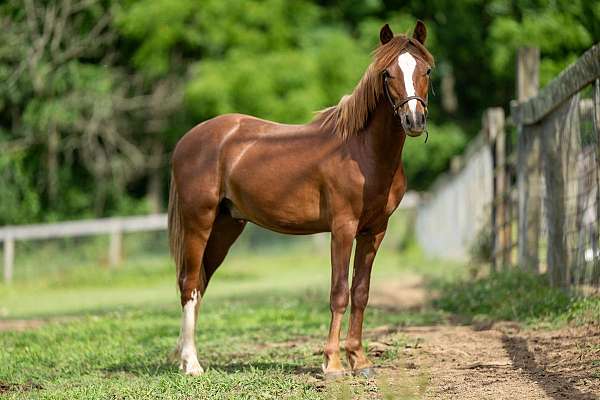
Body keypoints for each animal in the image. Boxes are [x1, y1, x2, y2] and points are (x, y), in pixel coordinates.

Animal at [166, 21, 434, 378]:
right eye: (387, 73)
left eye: (426, 70)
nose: (414, 121)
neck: (363, 152)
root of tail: (187, 140)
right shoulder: (343, 228)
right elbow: (339, 292)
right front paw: (332, 364)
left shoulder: (375, 231)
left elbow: (361, 292)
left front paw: (359, 360)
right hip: (199, 223)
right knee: (189, 284)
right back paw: (192, 364)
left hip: (225, 228)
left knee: (199, 284)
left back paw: (187, 359)